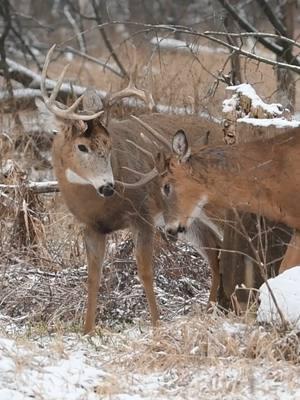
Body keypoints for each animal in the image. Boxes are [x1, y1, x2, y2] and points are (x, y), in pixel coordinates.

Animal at [35, 43, 223, 332]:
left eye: (109, 144)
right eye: (82, 146)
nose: (108, 186)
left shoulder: (142, 214)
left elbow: (145, 271)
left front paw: (156, 324)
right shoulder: (91, 226)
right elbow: (93, 276)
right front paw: (87, 330)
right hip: (193, 222)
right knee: (215, 255)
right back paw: (211, 310)